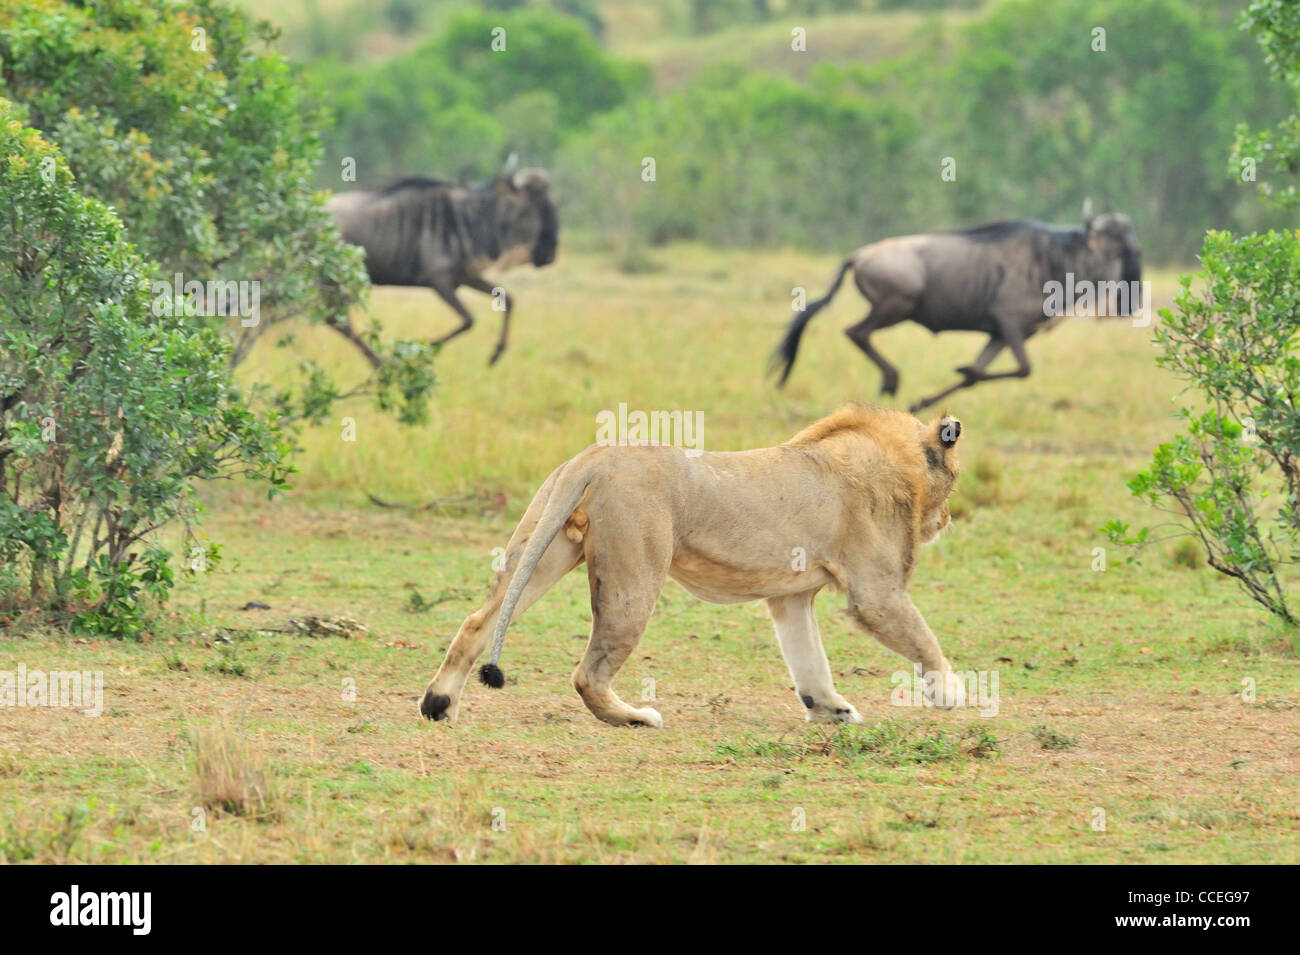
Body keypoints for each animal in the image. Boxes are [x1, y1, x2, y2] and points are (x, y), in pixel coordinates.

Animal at [418, 405, 967, 732]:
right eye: (957, 479)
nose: (948, 520)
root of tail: (594, 456)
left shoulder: (789, 597)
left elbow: (809, 660)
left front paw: (831, 708)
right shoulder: (876, 593)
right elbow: (924, 639)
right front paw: (954, 693)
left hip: (544, 551)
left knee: (477, 623)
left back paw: (438, 705)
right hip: (634, 576)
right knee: (587, 673)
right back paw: (636, 718)